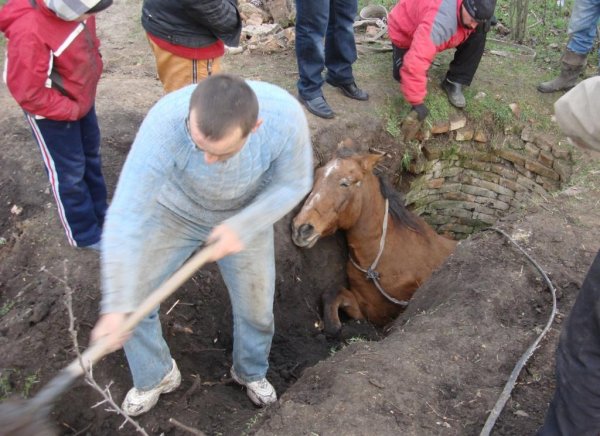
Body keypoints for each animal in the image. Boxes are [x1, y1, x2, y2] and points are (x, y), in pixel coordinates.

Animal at [290, 146, 454, 334]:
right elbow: (332, 294)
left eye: (345, 183)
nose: (300, 228)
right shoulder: (365, 307)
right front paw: (334, 326)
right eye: (317, 175)